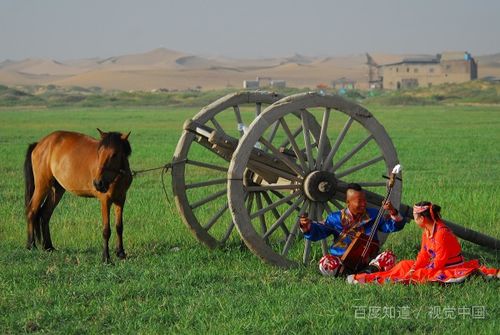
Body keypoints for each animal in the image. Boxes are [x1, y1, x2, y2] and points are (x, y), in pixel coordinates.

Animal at [23, 129, 133, 262]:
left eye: (115, 154)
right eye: (99, 152)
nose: (98, 183)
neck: (115, 177)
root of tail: (40, 144)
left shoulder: (120, 199)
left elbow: (119, 227)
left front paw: (120, 253)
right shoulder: (105, 201)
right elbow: (106, 230)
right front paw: (106, 258)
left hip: (57, 190)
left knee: (45, 214)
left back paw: (48, 247)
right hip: (42, 186)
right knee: (32, 210)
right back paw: (31, 245)